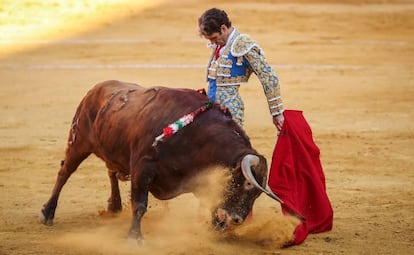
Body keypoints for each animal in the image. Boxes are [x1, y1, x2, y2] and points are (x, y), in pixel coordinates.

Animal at [39, 79, 282, 243]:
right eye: (248, 184)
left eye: (258, 193)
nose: (238, 219)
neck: (195, 137)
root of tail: (95, 89)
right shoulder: (142, 169)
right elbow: (139, 205)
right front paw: (134, 238)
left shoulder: (200, 177)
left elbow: (213, 202)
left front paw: (214, 229)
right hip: (78, 142)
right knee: (64, 172)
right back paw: (47, 213)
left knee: (111, 172)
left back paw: (114, 206)